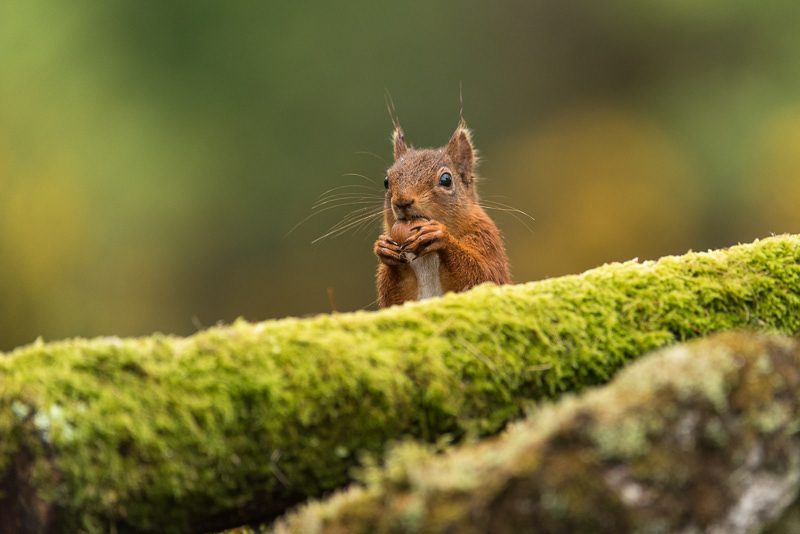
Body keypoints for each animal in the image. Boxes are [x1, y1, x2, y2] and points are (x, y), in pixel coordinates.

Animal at [373, 118, 511, 307]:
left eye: (446, 179)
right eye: (386, 181)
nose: (402, 201)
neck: (428, 255)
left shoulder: (486, 237)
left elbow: (485, 276)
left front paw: (440, 236)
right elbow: (397, 299)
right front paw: (383, 249)